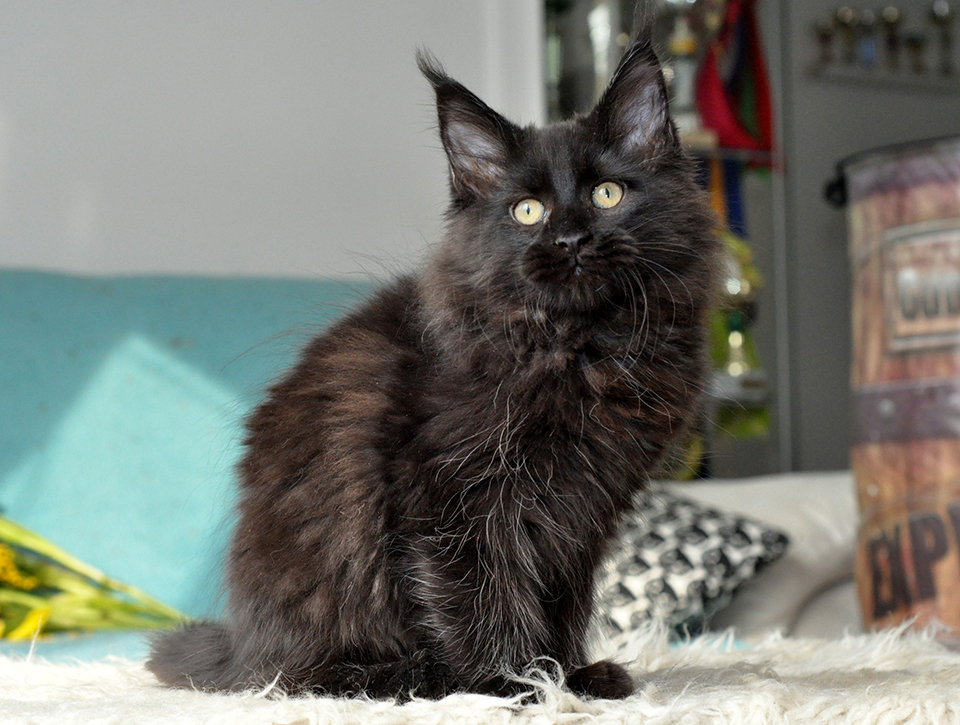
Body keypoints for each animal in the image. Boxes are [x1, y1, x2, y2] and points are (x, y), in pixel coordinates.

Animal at [146, 25, 716, 700]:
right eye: (527, 210)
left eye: (608, 194)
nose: (571, 240)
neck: (580, 348)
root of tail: (240, 650)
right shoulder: (450, 495)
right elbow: (482, 597)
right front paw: (516, 683)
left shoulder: (585, 509)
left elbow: (561, 601)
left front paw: (568, 675)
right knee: (305, 674)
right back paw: (415, 676)